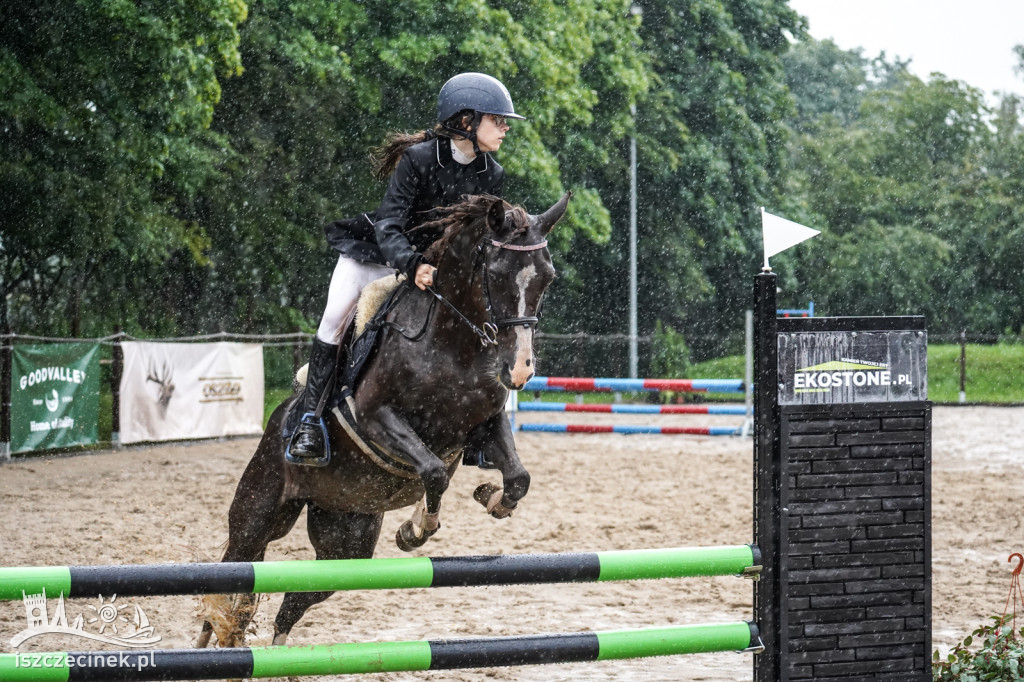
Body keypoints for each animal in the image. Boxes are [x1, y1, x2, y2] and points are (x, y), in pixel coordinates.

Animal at [197, 192, 569, 647]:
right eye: (496, 274)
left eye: (547, 278)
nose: (519, 371)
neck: (454, 346)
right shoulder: (377, 419)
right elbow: (433, 472)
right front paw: (416, 529)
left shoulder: (486, 424)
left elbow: (518, 478)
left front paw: (492, 498)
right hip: (259, 514)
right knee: (230, 577)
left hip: (345, 542)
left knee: (292, 601)